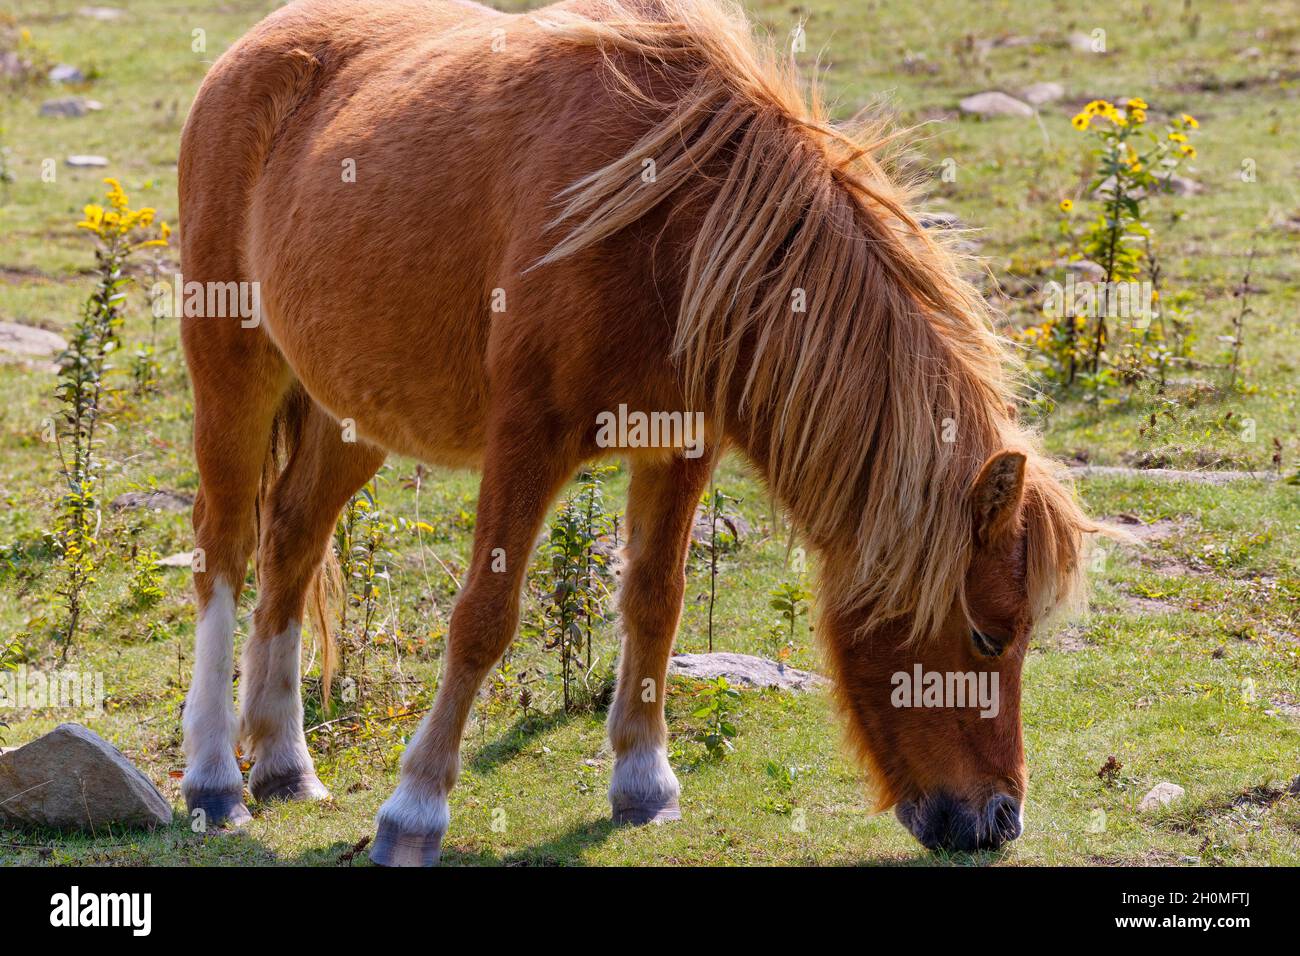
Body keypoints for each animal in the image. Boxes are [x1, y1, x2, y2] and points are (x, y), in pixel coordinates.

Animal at [178, 0, 1102, 868]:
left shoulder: (681, 443)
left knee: (292, 540)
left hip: (354, 414)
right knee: (224, 552)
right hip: (232, 368)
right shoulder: (527, 439)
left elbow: (657, 600)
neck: (671, 230)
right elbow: (483, 619)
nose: (999, 821)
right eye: (988, 636)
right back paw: (216, 780)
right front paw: (415, 809)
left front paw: (643, 782)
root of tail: (252, 51)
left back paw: (285, 765)